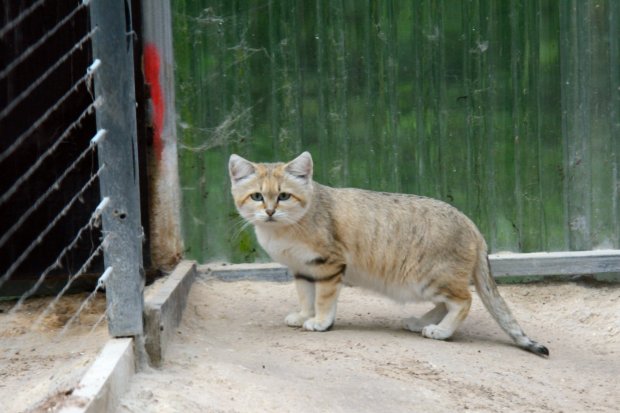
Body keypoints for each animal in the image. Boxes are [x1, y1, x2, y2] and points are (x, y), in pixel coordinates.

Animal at [230, 151, 548, 354]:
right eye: (257, 196)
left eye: (284, 196)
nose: (270, 212)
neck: (284, 228)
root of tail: (472, 224)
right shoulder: (302, 269)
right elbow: (306, 296)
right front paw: (304, 315)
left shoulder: (328, 265)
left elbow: (323, 299)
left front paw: (320, 322)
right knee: (446, 303)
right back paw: (422, 322)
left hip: (427, 278)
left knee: (463, 301)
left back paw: (441, 331)